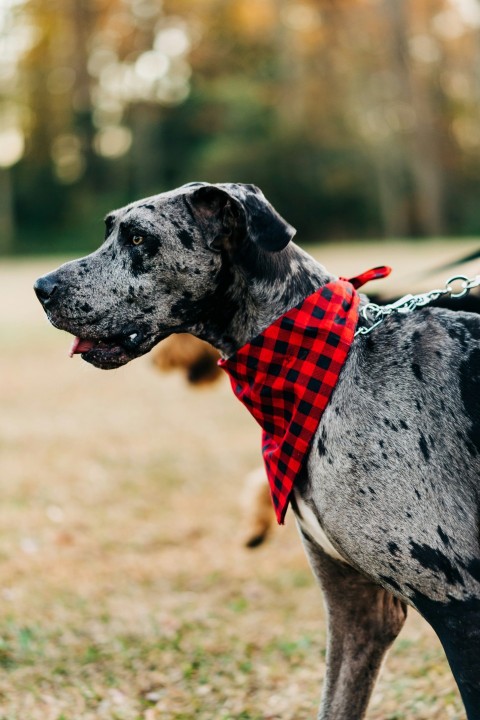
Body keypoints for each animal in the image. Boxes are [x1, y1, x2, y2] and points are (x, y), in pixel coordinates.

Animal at [33, 183, 480, 716]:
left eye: (138, 237)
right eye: (109, 230)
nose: (40, 288)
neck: (328, 365)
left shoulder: (459, 605)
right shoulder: (359, 612)